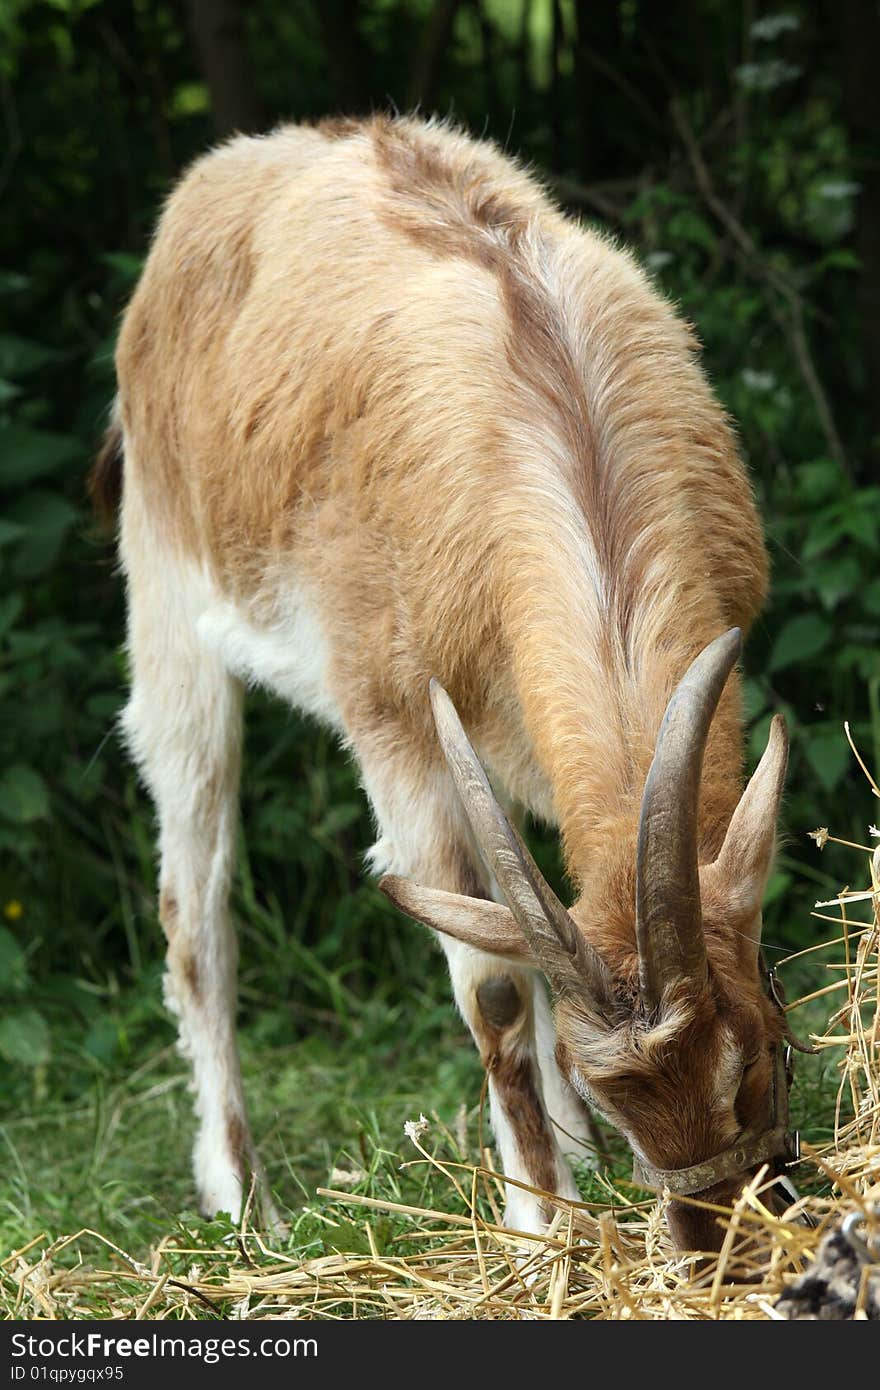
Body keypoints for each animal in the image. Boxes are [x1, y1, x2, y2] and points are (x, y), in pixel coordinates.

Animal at [92, 116, 795, 1251]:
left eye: (758, 1051)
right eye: (619, 1094)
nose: (716, 1244)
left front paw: (571, 1174)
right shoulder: (392, 712)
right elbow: (495, 985)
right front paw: (542, 1229)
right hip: (167, 606)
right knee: (193, 909)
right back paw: (246, 1201)